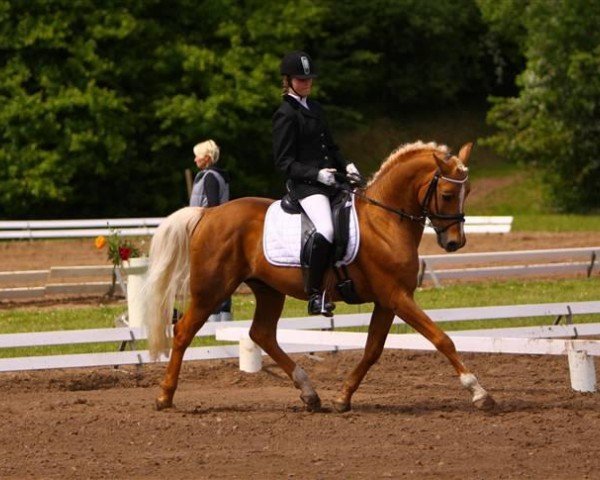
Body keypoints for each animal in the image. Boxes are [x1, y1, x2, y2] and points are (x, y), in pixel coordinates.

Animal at [142, 140, 496, 412]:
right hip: (212, 289)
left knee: (262, 334)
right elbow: (441, 338)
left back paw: (309, 393)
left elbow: (372, 350)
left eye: (468, 191)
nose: (455, 243)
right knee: (184, 331)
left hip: (268, 289)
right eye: (448, 194)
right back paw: (165, 397)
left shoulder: (387, 301)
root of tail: (209, 212)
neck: (385, 220)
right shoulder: (396, 296)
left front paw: (342, 398)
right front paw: (479, 392)